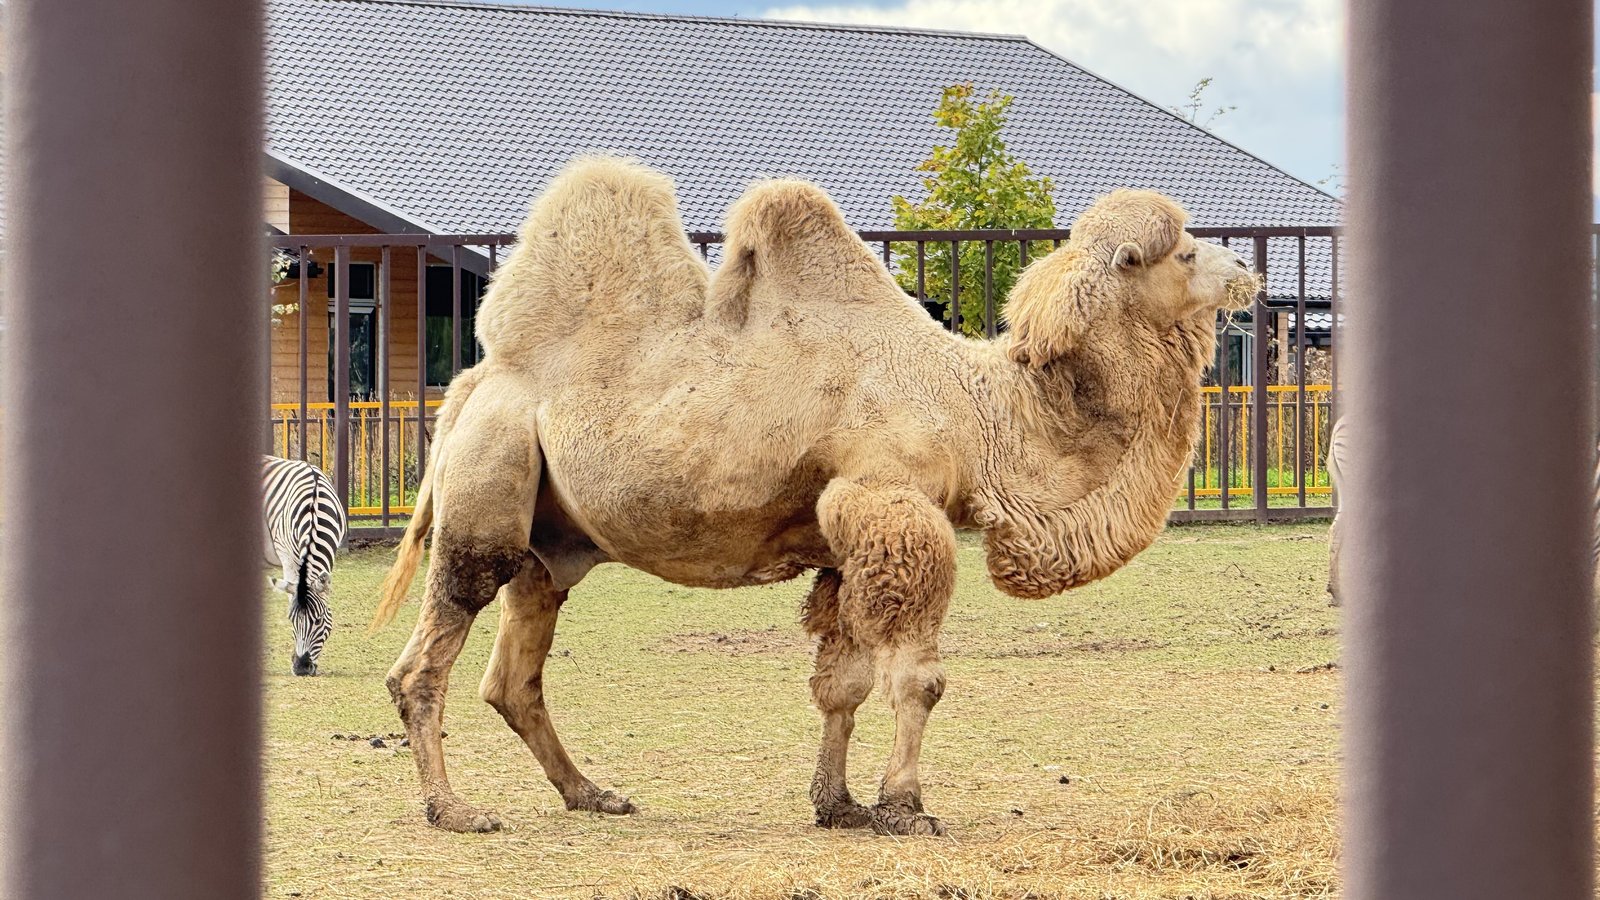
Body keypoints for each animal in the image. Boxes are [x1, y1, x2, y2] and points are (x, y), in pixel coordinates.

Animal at [370, 157, 1260, 836]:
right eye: (1183, 253)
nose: (1248, 271)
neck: (982, 412)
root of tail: (471, 387)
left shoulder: (842, 544)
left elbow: (844, 682)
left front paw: (840, 805)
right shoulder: (891, 506)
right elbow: (917, 677)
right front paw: (907, 807)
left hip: (548, 546)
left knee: (514, 676)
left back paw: (592, 794)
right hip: (484, 501)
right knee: (424, 662)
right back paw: (455, 810)